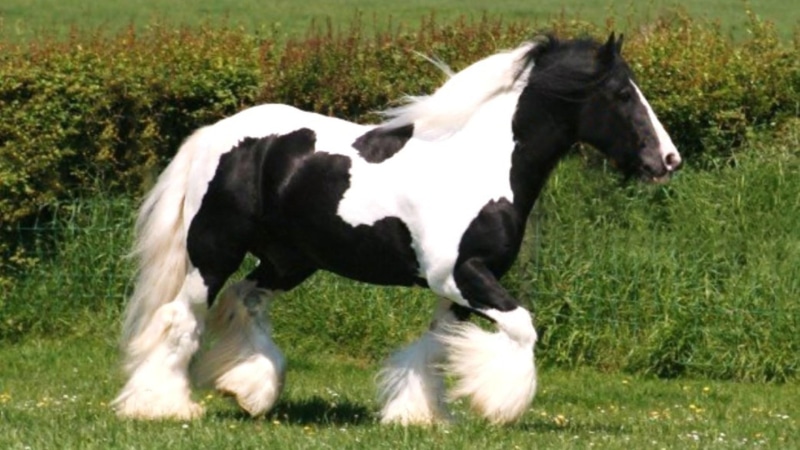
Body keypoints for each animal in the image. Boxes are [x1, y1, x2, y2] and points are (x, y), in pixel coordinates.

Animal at [111, 32, 681, 425]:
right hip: (214, 251)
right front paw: (499, 403)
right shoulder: (464, 276)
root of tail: (216, 134)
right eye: (621, 94)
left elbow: (436, 347)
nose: (668, 160)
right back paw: (163, 405)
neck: (481, 165)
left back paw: (251, 390)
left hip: (288, 260)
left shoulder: (461, 287)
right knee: (181, 319)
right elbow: (522, 328)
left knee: (244, 301)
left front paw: (418, 415)